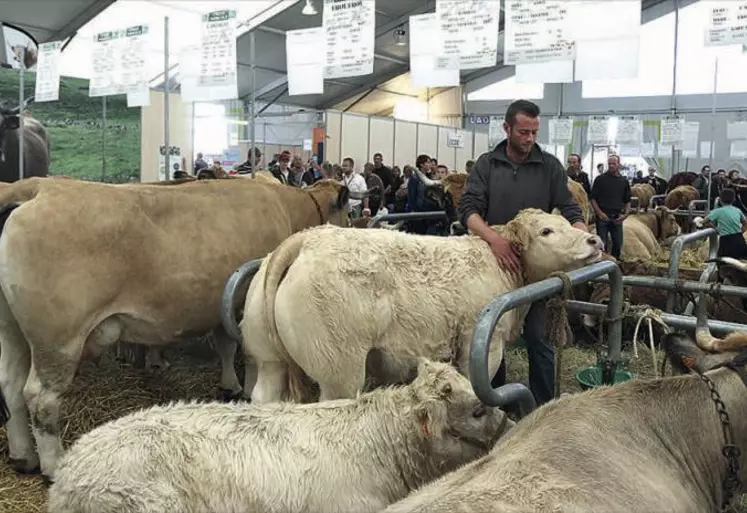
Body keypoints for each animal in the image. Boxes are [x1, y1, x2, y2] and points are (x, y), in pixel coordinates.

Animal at [0, 176, 368, 480]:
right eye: (349, 214)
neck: (288, 207)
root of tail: (36, 187)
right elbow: (247, 351)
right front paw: (245, 387)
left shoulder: (221, 306)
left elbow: (226, 346)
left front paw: (230, 385)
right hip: (58, 339)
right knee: (41, 398)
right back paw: (52, 465)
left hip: (11, 329)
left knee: (11, 385)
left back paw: (22, 456)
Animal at [243, 206, 604, 402]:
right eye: (546, 231)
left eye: (568, 224)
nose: (594, 240)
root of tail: (308, 238)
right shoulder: (483, 346)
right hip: (339, 370)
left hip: (268, 359)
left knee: (264, 396)